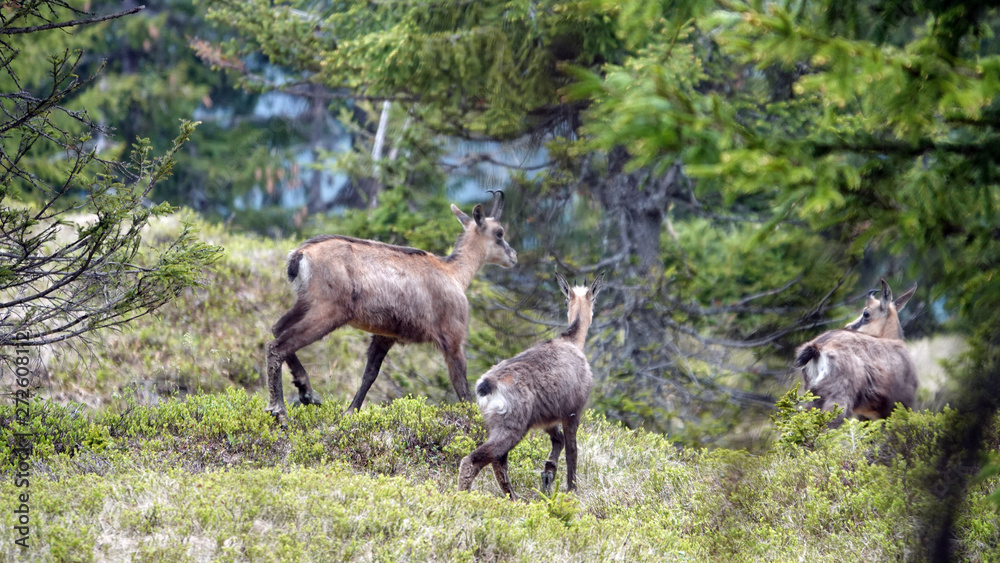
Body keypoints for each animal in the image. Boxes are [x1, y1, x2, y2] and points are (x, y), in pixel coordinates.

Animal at [264, 191, 517, 425]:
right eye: (500, 233)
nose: (513, 255)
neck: (454, 274)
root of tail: (300, 254)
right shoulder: (452, 337)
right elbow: (462, 387)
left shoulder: (385, 335)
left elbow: (370, 374)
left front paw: (349, 412)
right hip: (328, 311)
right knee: (278, 346)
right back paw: (280, 411)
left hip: (306, 303)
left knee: (277, 329)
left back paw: (307, 392)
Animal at [458, 271, 604, 500]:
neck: (571, 341)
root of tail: (487, 385)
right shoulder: (573, 412)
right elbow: (572, 450)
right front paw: (572, 490)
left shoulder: (548, 417)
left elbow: (558, 441)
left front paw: (548, 473)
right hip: (512, 427)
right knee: (475, 460)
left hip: (500, 425)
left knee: (498, 461)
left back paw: (513, 497)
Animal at [794, 278, 918, 427]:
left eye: (866, 314)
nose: (848, 326)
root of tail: (818, 346)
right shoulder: (898, 405)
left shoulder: (866, 415)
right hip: (838, 400)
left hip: (812, 397)